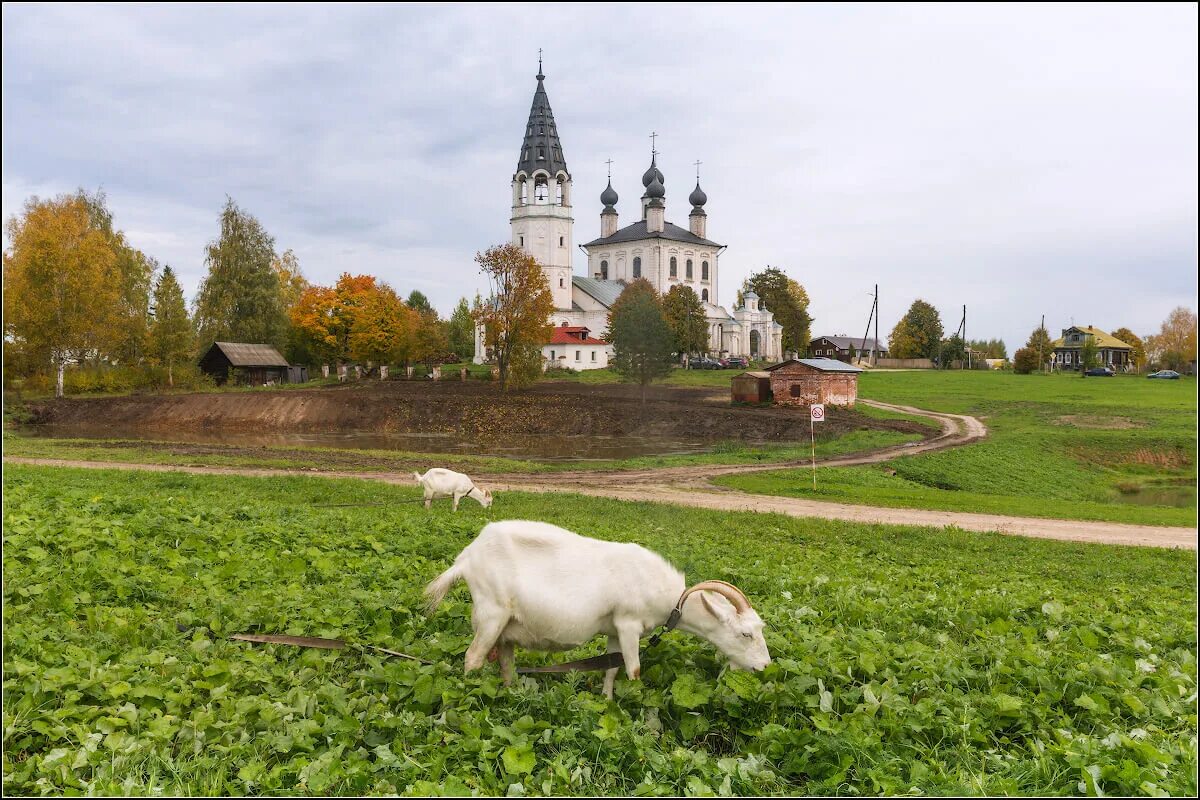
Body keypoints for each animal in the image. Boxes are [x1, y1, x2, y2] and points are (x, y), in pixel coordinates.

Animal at [427, 522, 772, 695]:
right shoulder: (629, 622)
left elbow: (611, 668)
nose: (765, 667)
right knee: (473, 658)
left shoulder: (616, 629)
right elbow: (633, 671)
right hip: (491, 612)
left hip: (507, 622)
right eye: (745, 634)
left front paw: (606, 702)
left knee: (506, 661)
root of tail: (466, 559)